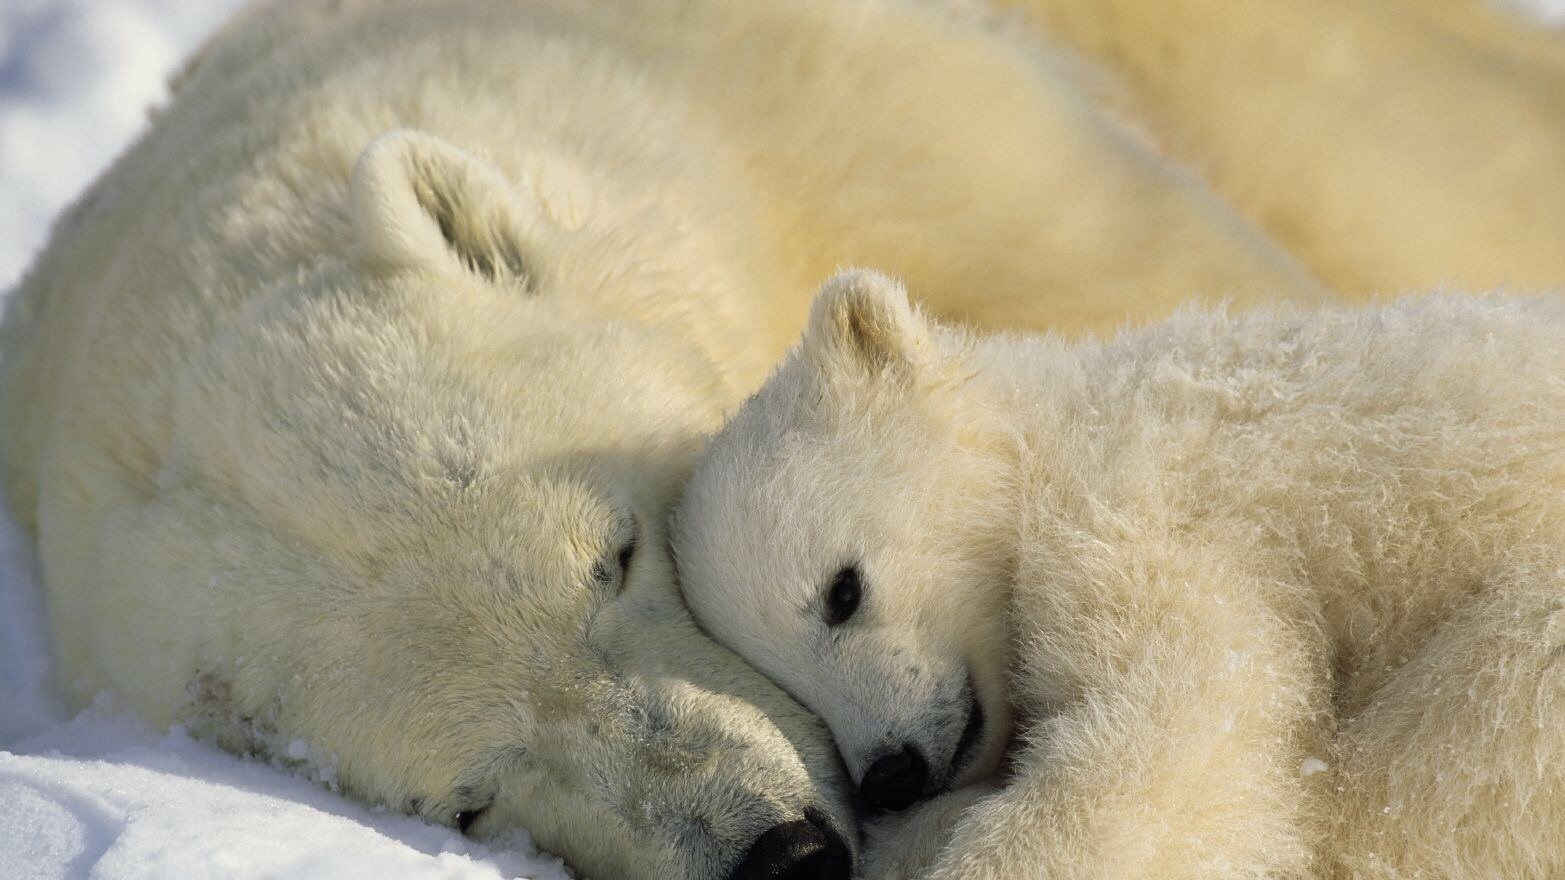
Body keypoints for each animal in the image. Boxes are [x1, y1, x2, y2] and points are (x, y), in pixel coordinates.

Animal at [671, 269, 1565, 879]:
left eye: (841, 592)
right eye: (783, 684)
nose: (891, 774)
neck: (1059, 426)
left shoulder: (1135, 508)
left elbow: (1174, 731)